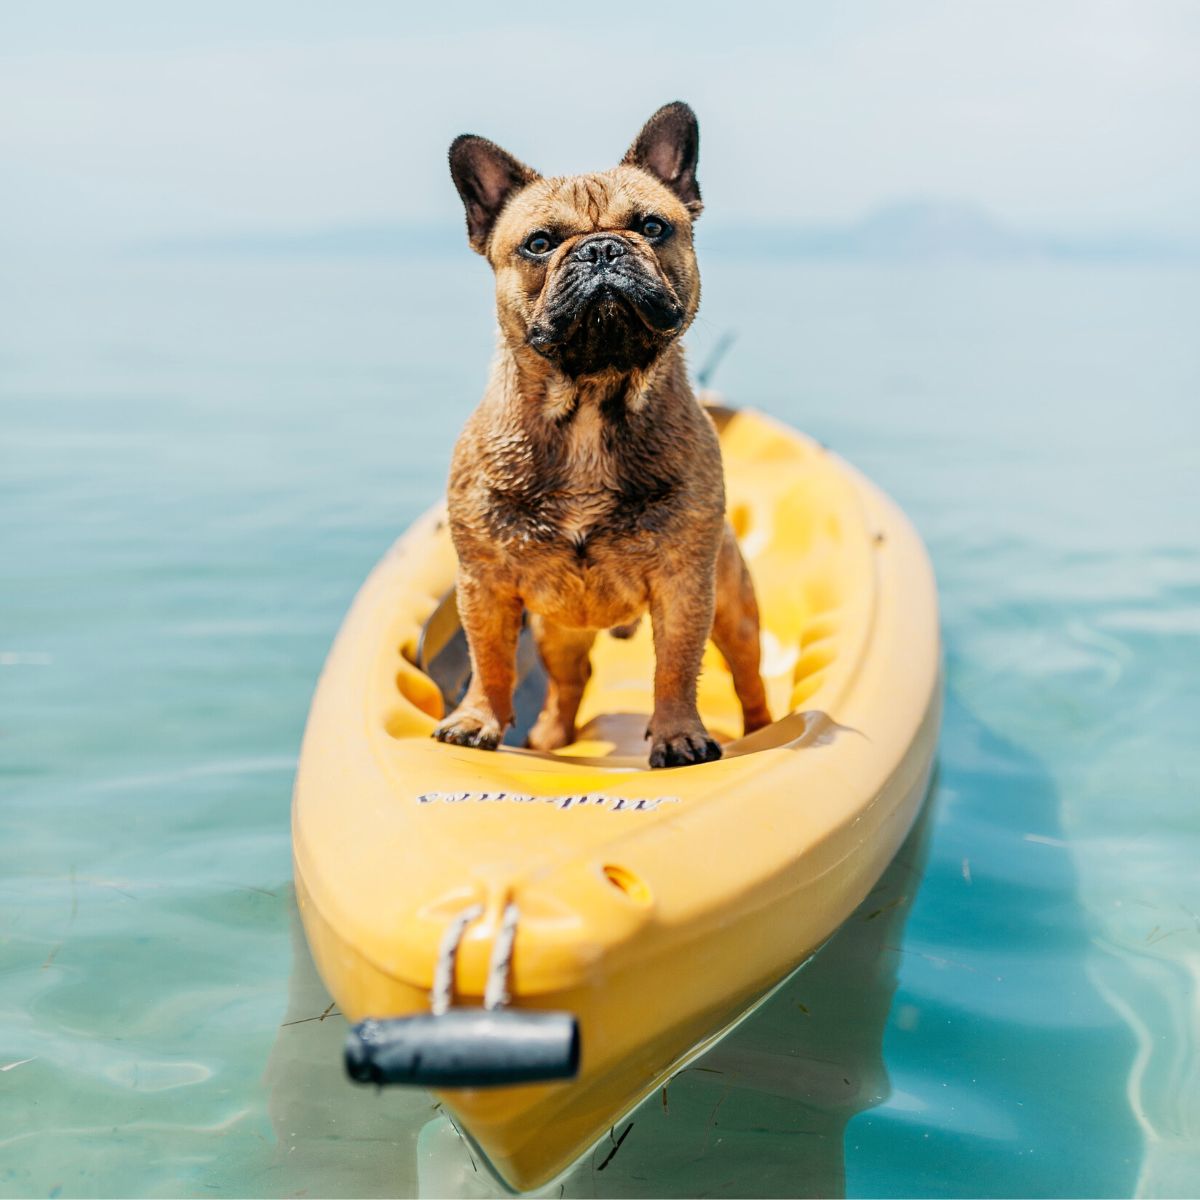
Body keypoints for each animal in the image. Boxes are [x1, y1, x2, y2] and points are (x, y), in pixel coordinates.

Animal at [432, 98, 768, 763]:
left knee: (749, 678)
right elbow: (490, 660)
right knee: (568, 684)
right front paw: (478, 719)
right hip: (557, 630)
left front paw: (679, 735)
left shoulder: (684, 585)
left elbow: (675, 666)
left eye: (654, 227)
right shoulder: (484, 583)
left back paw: (765, 728)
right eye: (539, 244)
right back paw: (549, 740)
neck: (590, 399)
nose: (602, 250)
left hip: (734, 608)